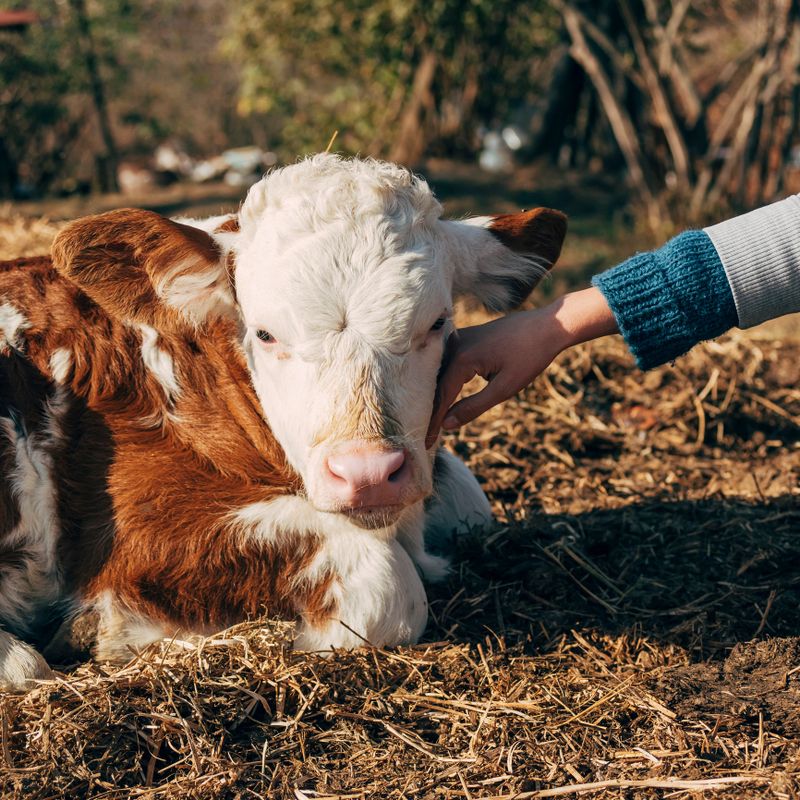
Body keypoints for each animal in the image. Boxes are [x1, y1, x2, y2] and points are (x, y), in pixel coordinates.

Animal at [0, 154, 566, 690]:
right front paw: (102, 626)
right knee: (28, 669)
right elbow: (390, 582)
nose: (368, 475)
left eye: (438, 323)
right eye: (265, 334)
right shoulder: (136, 523)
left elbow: (470, 500)